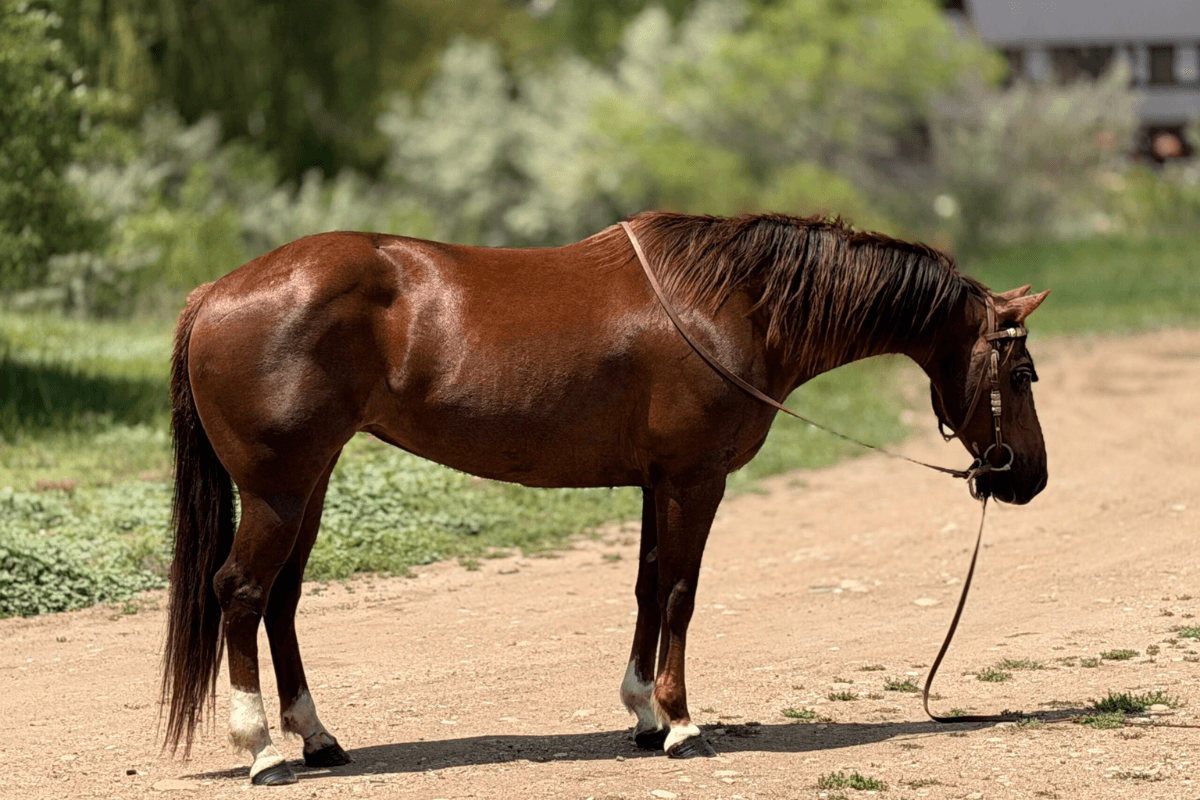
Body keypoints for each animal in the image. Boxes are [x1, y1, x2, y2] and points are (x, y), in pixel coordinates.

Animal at [161, 211, 1049, 784]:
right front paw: (682, 724)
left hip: (308, 485)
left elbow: (648, 588)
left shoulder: (658, 482)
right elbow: (683, 592)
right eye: (1022, 372)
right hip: (277, 490)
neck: (732, 303)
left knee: (280, 602)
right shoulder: (696, 478)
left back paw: (316, 739)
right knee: (241, 594)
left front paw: (643, 716)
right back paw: (262, 751)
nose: (1028, 477)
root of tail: (213, 293)